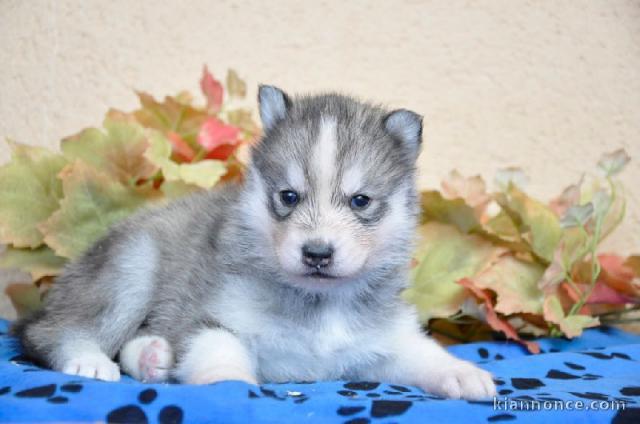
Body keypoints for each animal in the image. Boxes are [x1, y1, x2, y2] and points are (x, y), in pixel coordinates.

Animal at [13, 85, 496, 398]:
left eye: (360, 201)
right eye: (288, 196)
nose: (317, 253)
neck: (318, 305)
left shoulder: (383, 342)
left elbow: (422, 354)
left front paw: (463, 374)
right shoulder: (212, 320)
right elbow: (220, 355)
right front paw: (230, 388)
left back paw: (154, 356)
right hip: (131, 268)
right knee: (51, 330)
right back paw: (89, 359)